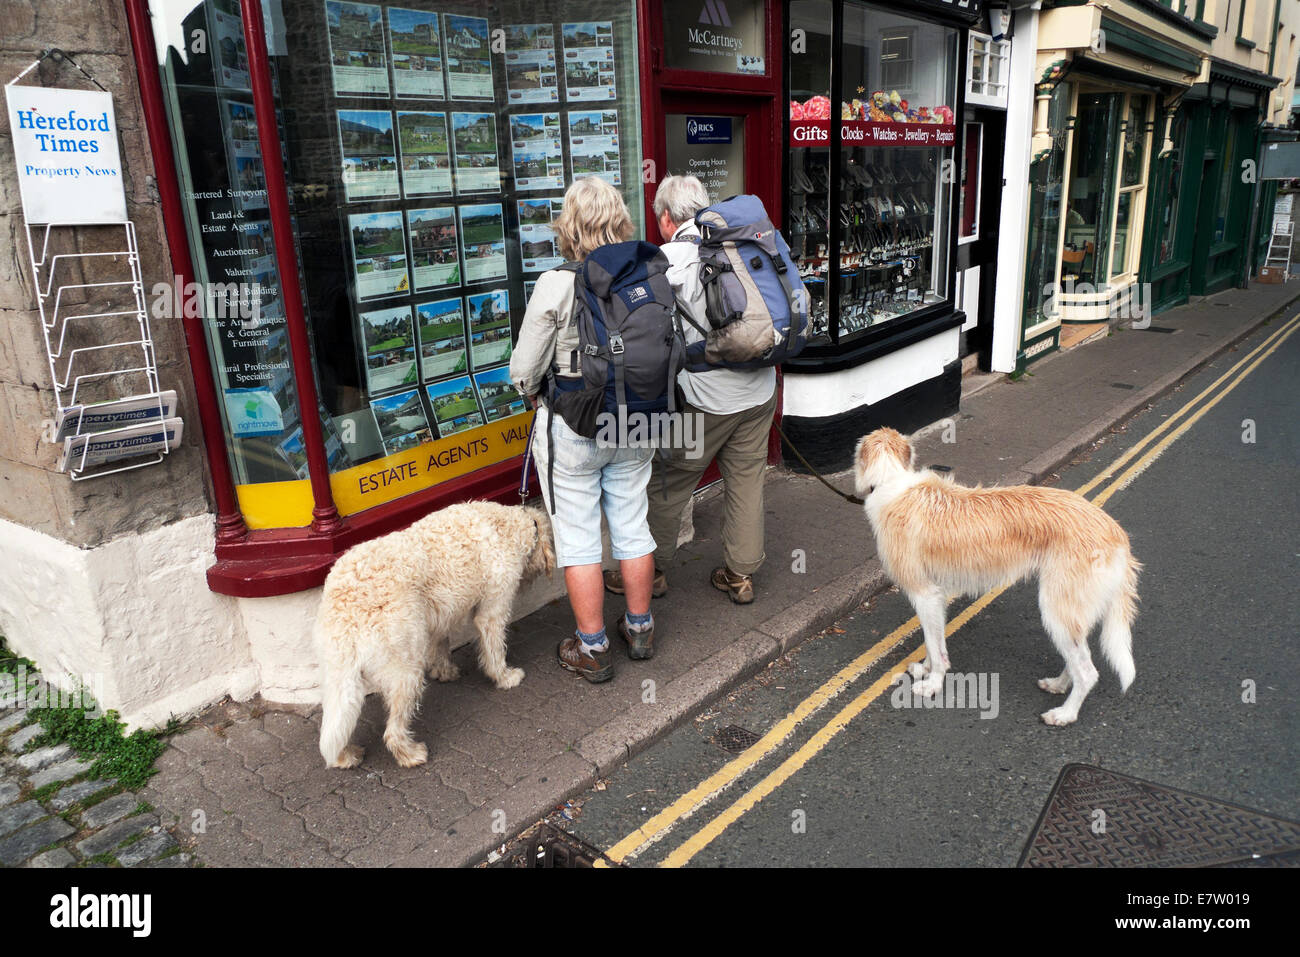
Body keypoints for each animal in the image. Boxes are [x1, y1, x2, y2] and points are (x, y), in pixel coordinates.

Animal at [319, 501, 559, 769]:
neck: (508, 525)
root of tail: (345, 601)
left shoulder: (440, 615)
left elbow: (441, 644)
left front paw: (444, 672)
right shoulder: (492, 612)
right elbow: (495, 651)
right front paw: (504, 677)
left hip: (338, 677)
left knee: (338, 724)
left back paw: (345, 756)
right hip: (406, 670)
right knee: (392, 731)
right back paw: (411, 755)